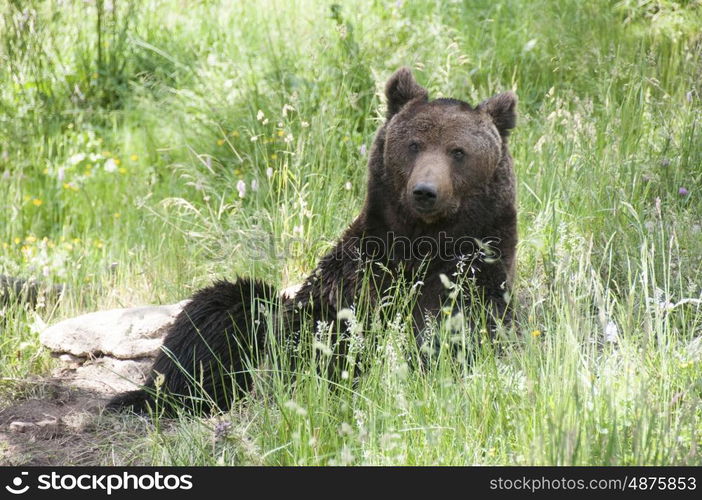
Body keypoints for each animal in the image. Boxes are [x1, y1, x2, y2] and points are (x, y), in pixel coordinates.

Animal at [107, 68, 520, 416]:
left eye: (458, 151)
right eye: (414, 145)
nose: (425, 191)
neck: (422, 241)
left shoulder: (474, 267)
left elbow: (455, 326)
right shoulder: (361, 266)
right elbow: (327, 327)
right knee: (225, 307)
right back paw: (155, 396)